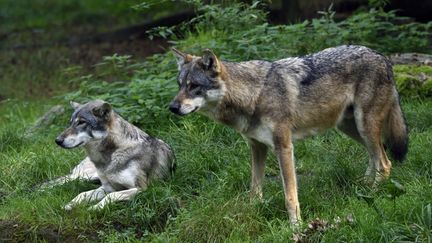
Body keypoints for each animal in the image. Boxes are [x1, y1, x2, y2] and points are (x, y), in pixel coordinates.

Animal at [169, 45, 408, 224]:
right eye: (180, 85)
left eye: (194, 86)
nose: (172, 107)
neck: (254, 95)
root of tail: (382, 57)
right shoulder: (257, 147)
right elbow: (254, 189)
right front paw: (251, 212)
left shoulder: (283, 147)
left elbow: (290, 196)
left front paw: (295, 226)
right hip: (350, 128)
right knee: (375, 156)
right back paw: (364, 185)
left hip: (364, 126)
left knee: (385, 163)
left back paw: (371, 194)